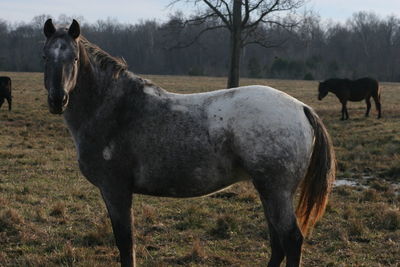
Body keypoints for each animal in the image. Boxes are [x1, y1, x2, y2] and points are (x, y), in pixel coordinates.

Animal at [42, 19, 336, 267]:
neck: (113, 107)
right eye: (45, 56)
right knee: (277, 243)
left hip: (276, 191)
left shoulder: (115, 189)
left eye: (74, 58)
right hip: (269, 191)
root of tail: (301, 107)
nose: (57, 100)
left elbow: (125, 242)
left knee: (291, 240)